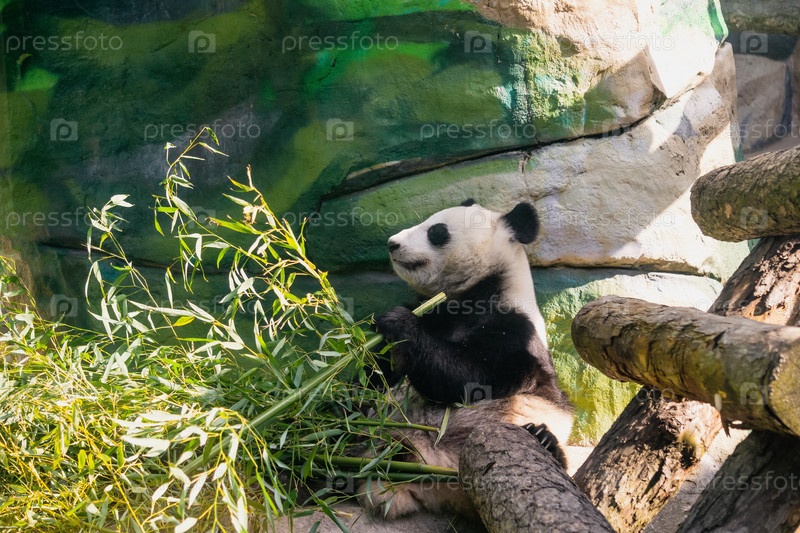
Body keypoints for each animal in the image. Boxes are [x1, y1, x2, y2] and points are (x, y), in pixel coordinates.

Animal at [360, 199, 574, 519]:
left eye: (437, 232)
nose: (392, 243)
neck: (479, 290)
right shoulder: (439, 313)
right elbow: (376, 375)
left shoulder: (516, 332)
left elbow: (470, 380)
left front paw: (398, 322)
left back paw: (544, 440)